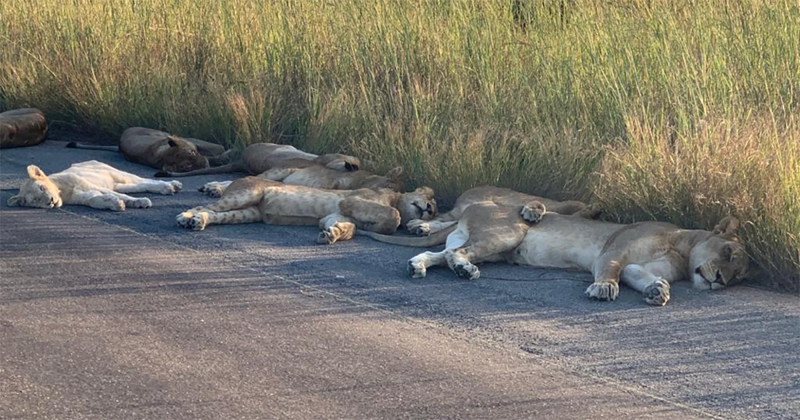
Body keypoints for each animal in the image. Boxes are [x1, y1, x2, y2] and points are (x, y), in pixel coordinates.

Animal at [7, 160, 183, 212]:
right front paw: (115, 204)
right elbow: (95, 200)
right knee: (139, 186)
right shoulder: (84, 197)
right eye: (35, 200)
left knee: (145, 180)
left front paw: (140, 202)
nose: (50, 201)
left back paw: (171, 185)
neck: (62, 192)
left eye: (42, 188)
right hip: (118, 184)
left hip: (117, 173)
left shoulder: (88, 184)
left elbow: (122, 196)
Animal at [65, 128, 228, 174]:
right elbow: (217, 150)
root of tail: (119, 146)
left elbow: (215, 150)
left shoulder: (192, 142)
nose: (203, 164)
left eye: (192, 154)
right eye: (187, 166)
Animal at [177, 176, 438, 244]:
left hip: (247, 213)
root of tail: (239, 179)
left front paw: (331, 235)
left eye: (434, 211)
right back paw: (185, 217)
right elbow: (394, 216)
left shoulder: (333, 215)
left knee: (216, 214)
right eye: (430, 200)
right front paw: (384, 225)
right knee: (204, 205)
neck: (395, 198)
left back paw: (199, 221)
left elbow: (349, 227)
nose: (428, 209)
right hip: (246, 194)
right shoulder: (350, 200)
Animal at [362, 200, 752, 306]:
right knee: (461, 253)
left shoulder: (636, 266)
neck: (682, 250)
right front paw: (603, 289)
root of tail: (474, 205)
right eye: (728, 251)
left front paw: (658, 290)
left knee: (444, 253)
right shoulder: (612, 252)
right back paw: (464, 271)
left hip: (493, 247)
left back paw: (419, 266)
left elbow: (641, 276)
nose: (720, 280)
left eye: (739, 276)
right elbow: (609, 270)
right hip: (508, 232)